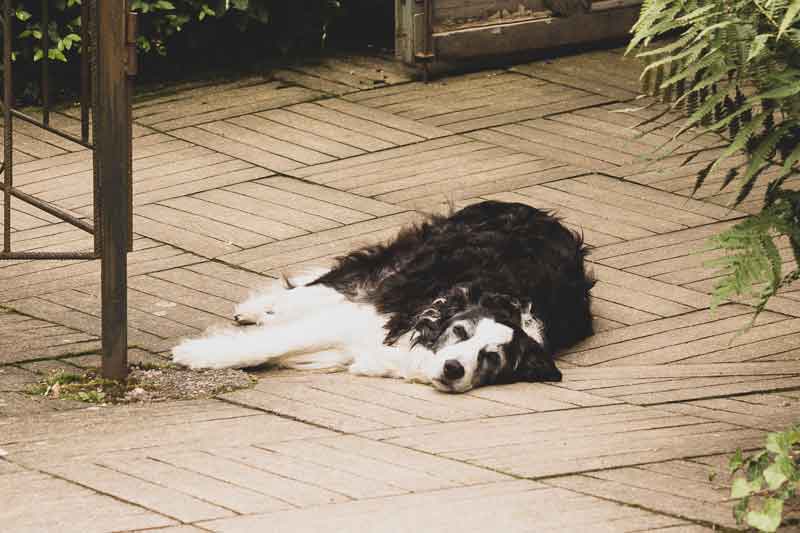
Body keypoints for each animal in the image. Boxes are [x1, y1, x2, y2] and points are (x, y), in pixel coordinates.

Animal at [170, 202, 592, 392]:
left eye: (492, 359)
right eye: (461, 333)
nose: (454, 368)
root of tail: (541, 213)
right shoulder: (367, 315)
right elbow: (270, 342)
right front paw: (198, 354)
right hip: (406, 260)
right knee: (328, 283)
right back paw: (260, 307)